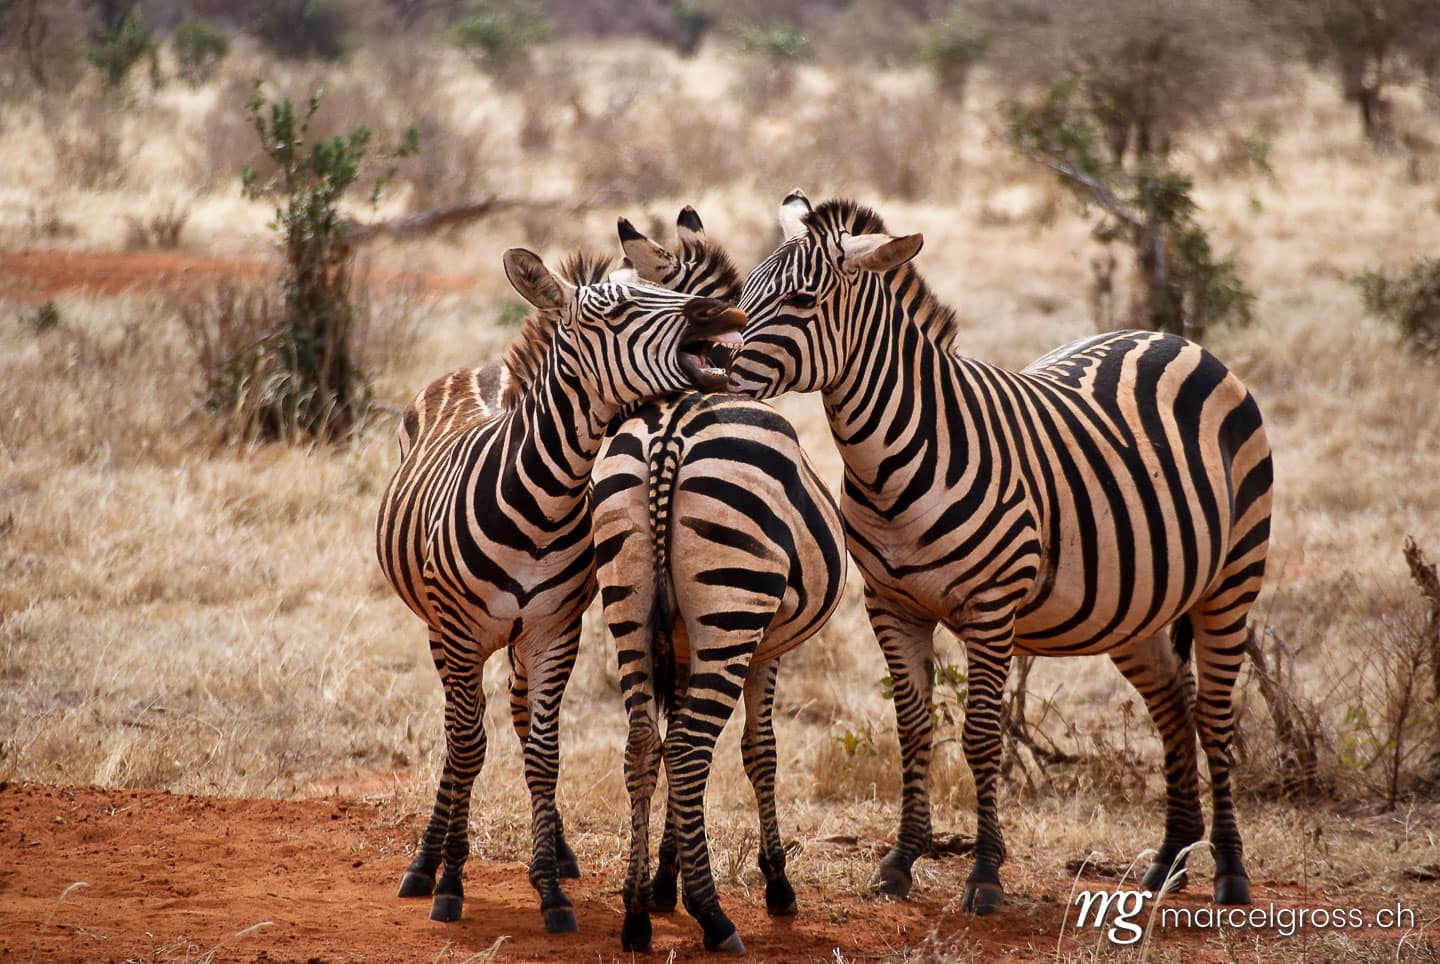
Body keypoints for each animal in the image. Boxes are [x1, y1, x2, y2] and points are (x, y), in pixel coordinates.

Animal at [375, 246, 746, 931]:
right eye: (618, 310)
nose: (723, 311)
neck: (540, 502)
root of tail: (488, 367)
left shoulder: (555, 631)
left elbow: (545, 753)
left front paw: (549, 887)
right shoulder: (461, 635)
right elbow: (468, 747)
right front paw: (450, 883)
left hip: (519, 639)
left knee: (520, 720)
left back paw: (554, 851)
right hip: (441, 629)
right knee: (458, 729)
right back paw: (425, 861)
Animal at [592, 209, 847, 953]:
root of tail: (672, 431)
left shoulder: (675, 644)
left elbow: (669, 747)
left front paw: (661, 882)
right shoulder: (769, 646)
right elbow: (760, 751)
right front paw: (775, 882)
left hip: (626, 606)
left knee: (645, 745)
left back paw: (635, 917)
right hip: (735, 612)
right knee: (690, 748)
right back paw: (714, 916)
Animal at [728, 192, 1273, 915]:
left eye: (801, 299)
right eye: (746, 291)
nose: (713, 369)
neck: (892, 461)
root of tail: (1174, 338)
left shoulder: (990, 609)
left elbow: (981, 735)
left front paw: (984, 875)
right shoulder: (890, 605)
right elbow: (913, 729)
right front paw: (900, 861)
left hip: (1232, 579)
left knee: (1214, 713)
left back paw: (1231, 873)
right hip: (1135, 605)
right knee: (1174, 703)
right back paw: (1169, 862)